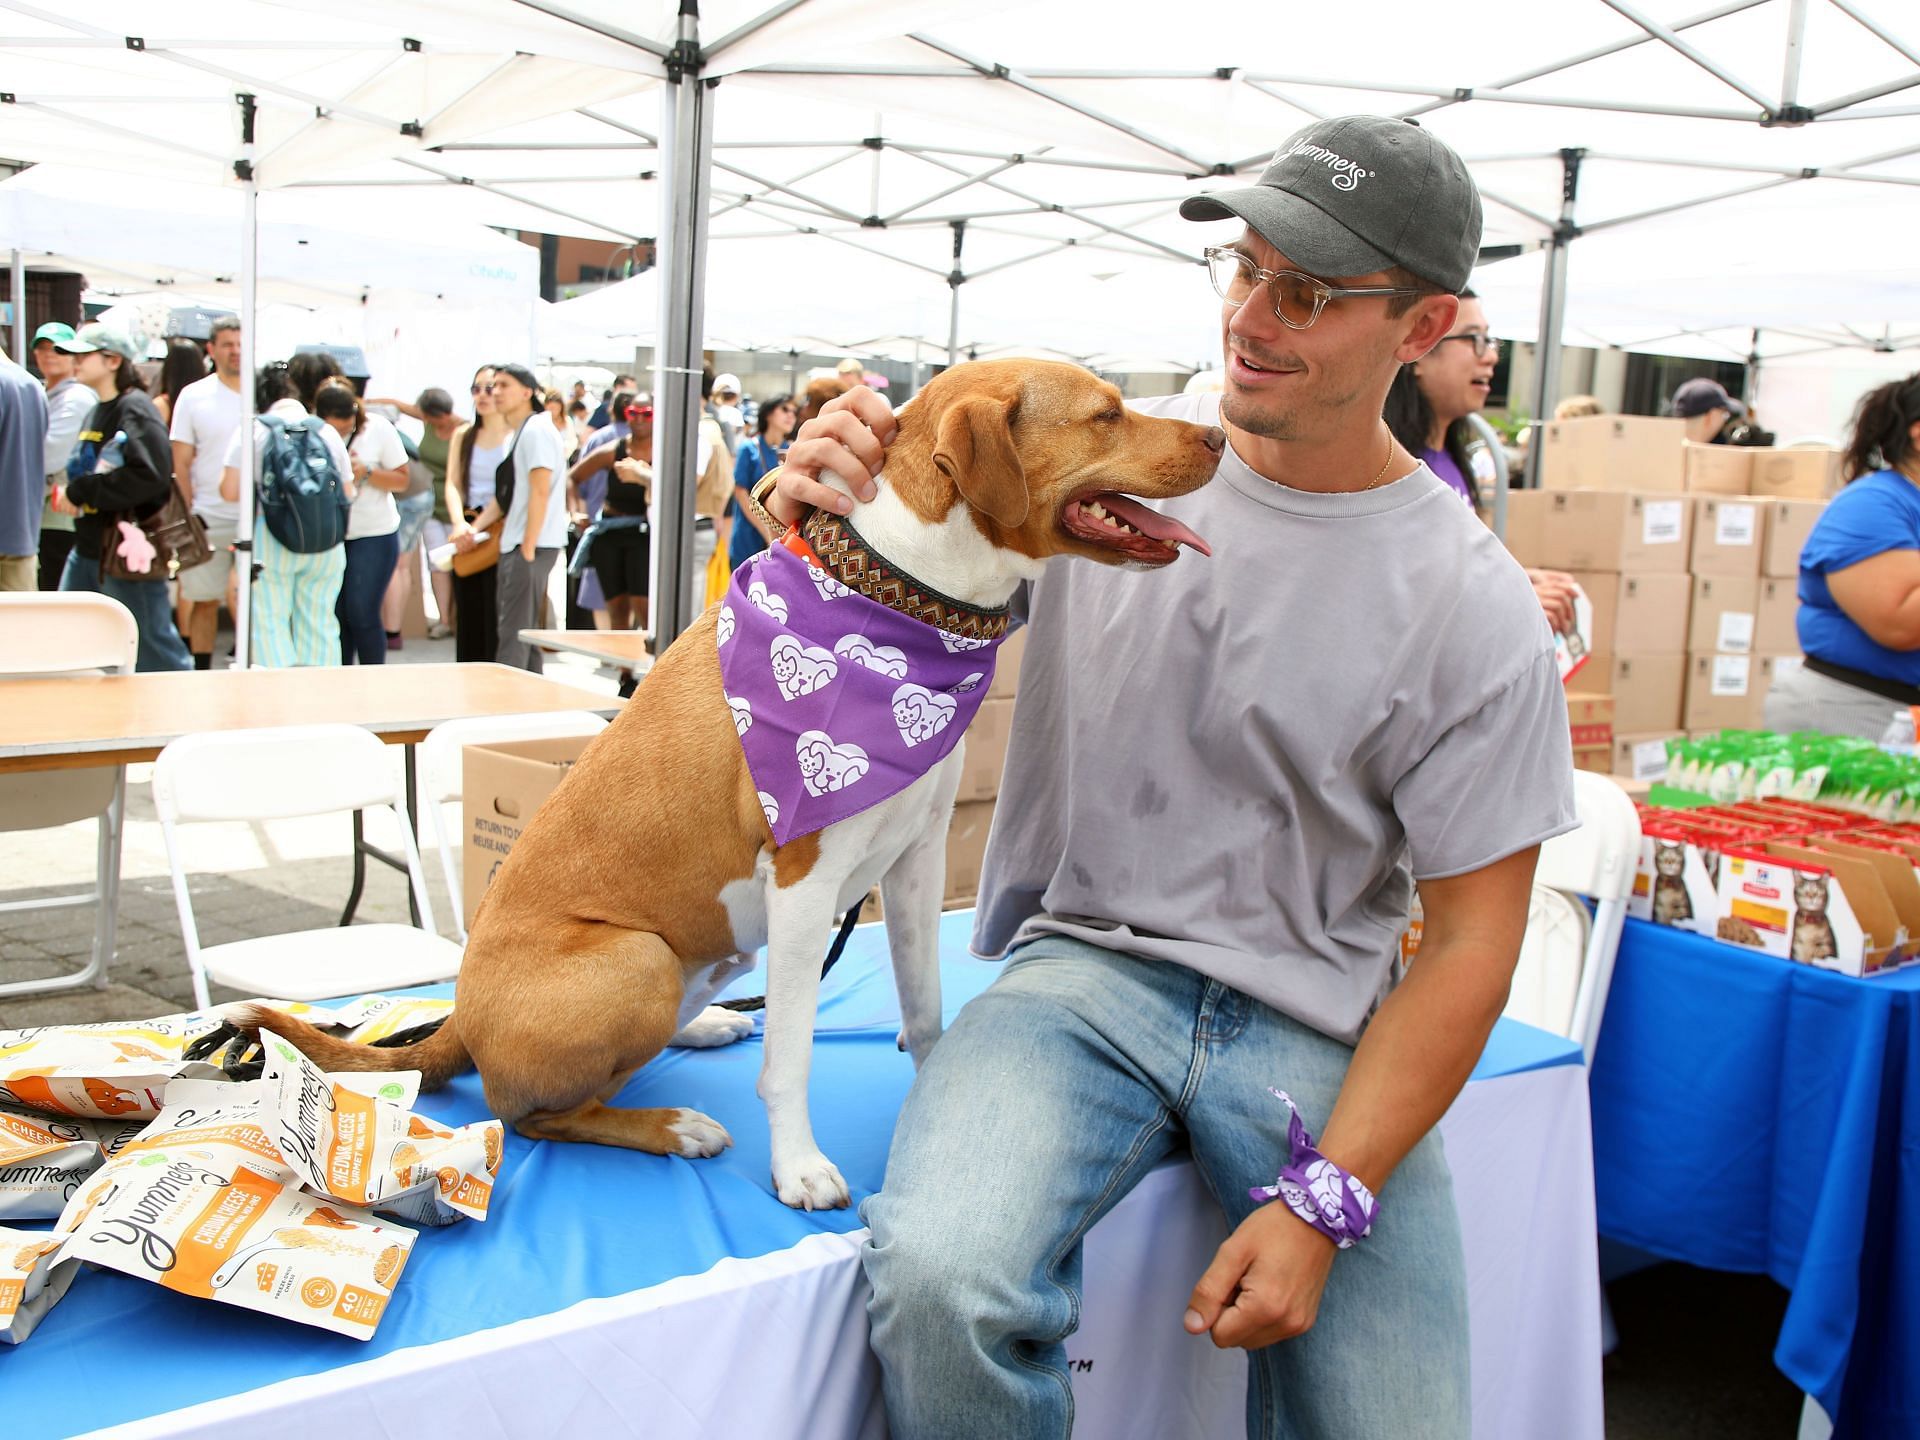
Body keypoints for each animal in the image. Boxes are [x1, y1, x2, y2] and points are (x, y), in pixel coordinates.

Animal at [247, 360, 1221, 1205]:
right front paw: (799, 1167)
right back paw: (671, 1125)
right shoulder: (804, 884)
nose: (1218, 432)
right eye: (1107, 413)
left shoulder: (914, 862)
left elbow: (925, 1005)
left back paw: (704, 1023)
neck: (902, 602)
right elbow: (791, 1058)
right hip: (636, 958)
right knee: (528, 1115)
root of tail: (455, 1019)